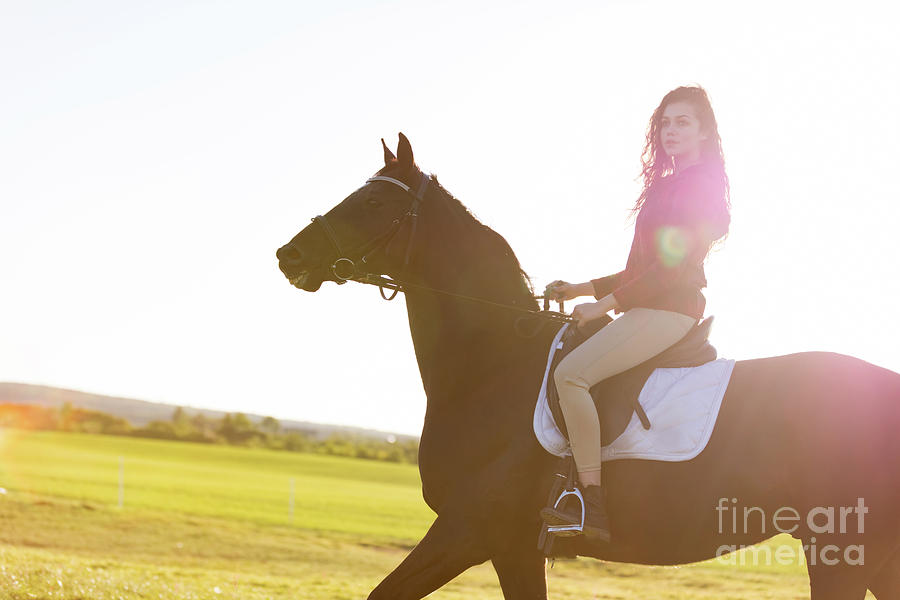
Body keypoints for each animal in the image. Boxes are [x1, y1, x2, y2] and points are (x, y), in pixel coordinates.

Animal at [276, 136, 900, 600]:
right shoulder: (512, 550)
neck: (491, 369)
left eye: (374, 205)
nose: (290, 254)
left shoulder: (468, 530)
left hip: (843, 555)